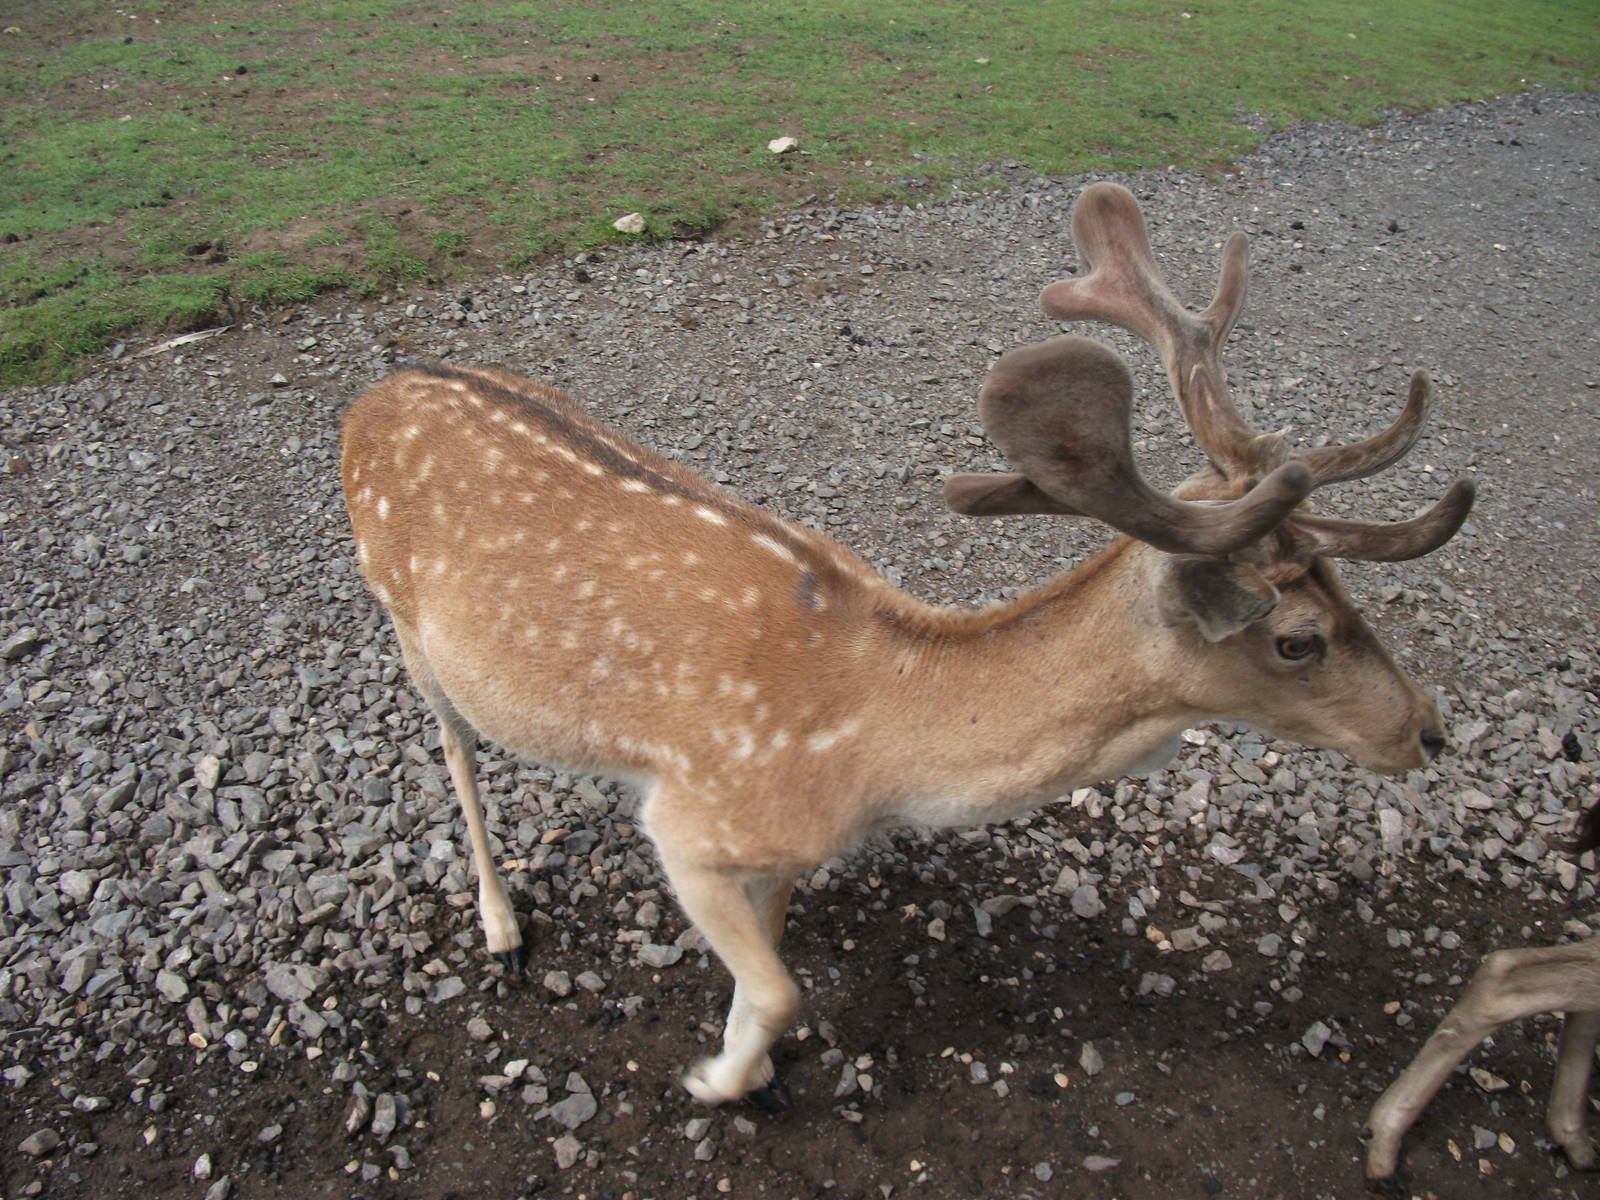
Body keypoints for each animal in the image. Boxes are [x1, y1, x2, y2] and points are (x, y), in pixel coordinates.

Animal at [340, 181, 1473, 1107]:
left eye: (1347, 592)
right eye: (1297, 640)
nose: (1428, 731)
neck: (874, 753)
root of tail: (372, 394)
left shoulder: (776, 851)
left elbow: (770, 966)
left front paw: (743, 1057)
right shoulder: (692, 822)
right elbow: (785, 990)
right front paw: (715, 1081)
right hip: (398, 610)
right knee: (450, 743)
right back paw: (499, 921)